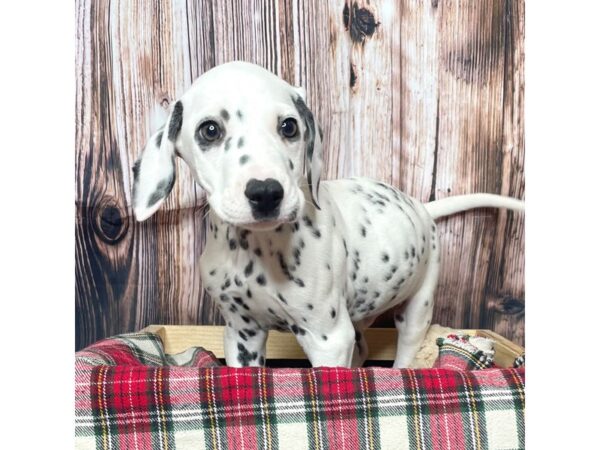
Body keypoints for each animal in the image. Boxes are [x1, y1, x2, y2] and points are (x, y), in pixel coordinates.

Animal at [132, 60, 524, 370]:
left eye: (289, 126)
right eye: (210, 130)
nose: (266, 193)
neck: (258, 248)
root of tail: (420, 206)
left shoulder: (327, 337)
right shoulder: (242, 334)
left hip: (418, 305)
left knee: (405, 351)